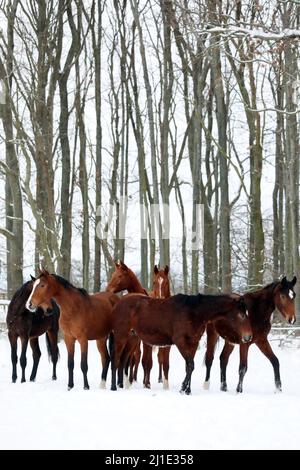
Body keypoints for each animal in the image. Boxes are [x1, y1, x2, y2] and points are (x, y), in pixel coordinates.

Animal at [109, 292, 252, 394]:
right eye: (242, 315)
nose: (248, 336)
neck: (194, 312)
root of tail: (118, 304)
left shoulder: (193, 343)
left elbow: (189, 366)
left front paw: (187, 389)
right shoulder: (180, 342)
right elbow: (190, 365)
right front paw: (184, 388)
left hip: (132, 338)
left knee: (122, 360)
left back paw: (121, 385)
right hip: (121, 336)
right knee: (115, 359)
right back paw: (113, 387)